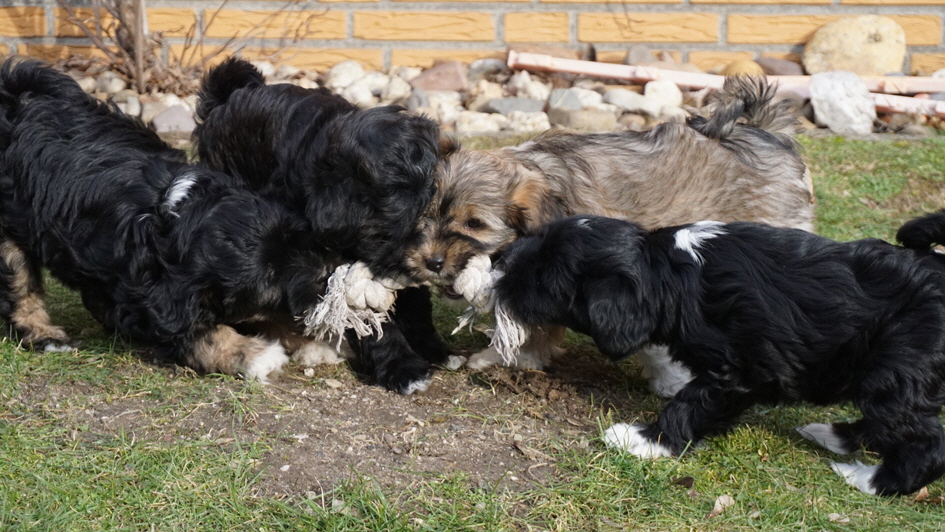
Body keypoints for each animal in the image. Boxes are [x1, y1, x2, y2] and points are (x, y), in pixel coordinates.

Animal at [0, 58, 348, 380]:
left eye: (296, 238)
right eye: (270, 280)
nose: (325, 274)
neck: (174, 214)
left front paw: (311, 343)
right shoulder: (152, 299)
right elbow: (197, 332)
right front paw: (254, 354)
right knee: (21, 283)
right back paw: (45, 335)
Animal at [193, 59, 450, 394]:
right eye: (385, 233)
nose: (434, 263)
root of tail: (227, 96)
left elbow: (416, 301)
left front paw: (434, 348)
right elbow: (367, 317)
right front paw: (403, 367)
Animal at [490, 214, 944, 496]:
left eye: (545, 276)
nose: (496, 258)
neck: (671, 274)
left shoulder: (737, 370)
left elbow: (691, 403)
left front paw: (645, 440)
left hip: (897, 374)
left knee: (924, 442)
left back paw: (868, 480)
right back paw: (833, 434)